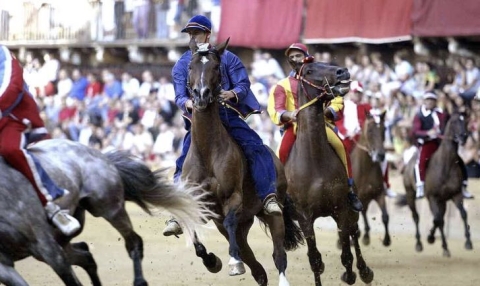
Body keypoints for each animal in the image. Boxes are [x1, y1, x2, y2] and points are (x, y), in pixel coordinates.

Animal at [0, 138, 210, 284]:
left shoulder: (47, 248)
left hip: (109, 208)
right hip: (63, 235)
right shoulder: (7, 265)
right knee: (85, 254)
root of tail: (98, 154)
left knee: (133, 242)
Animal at [284, 62, 376, 286]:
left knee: (354, 232)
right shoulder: (304, 217)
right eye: (309, 70)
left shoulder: (340, 208)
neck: (314, 158)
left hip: (350, 207)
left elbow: (347, 254)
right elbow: (315, 260)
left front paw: (352, 274)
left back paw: (365, 271)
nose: (342, 71)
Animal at [350, 110, 392, 247]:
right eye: (370, 130)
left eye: (384, 129)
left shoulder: (379, 194)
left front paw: (386, 239)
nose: (380, 155)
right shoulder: (358, 198)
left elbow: (385, 216)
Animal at [398, 110, 472, 256]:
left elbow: (462, 214)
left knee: (439, 217)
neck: (446, 165)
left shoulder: (456, 194)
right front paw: (443, 246)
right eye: (454, 122)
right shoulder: (432, 197)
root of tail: (408, 164)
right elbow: (438, 220)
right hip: (410, 194)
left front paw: (468, 242)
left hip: (442, 201)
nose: (464, 137)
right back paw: (419, 243)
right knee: (416, 217)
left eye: (466, 121)